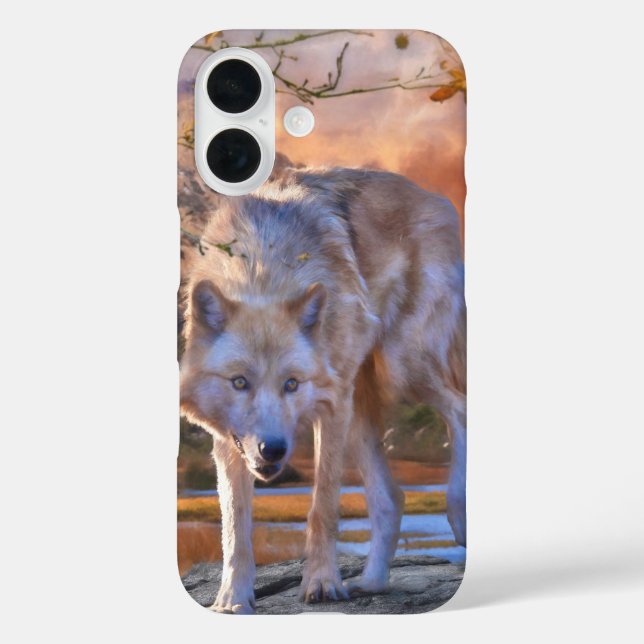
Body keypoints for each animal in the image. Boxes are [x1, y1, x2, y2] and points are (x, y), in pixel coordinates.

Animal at [180, 167, 466, 613]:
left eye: (291, 384)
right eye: (239, 382)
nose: (273, 449)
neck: (263, 270)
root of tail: (432, 196)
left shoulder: (330, 407)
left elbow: (323, 506)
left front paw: (322, 583)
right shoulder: (228, 438)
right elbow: (234, 525)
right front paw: (231, 600)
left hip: (402, 367)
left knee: (460, 408)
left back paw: (458, 514)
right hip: (360, 410)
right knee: (392, 497)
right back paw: (371, 582)